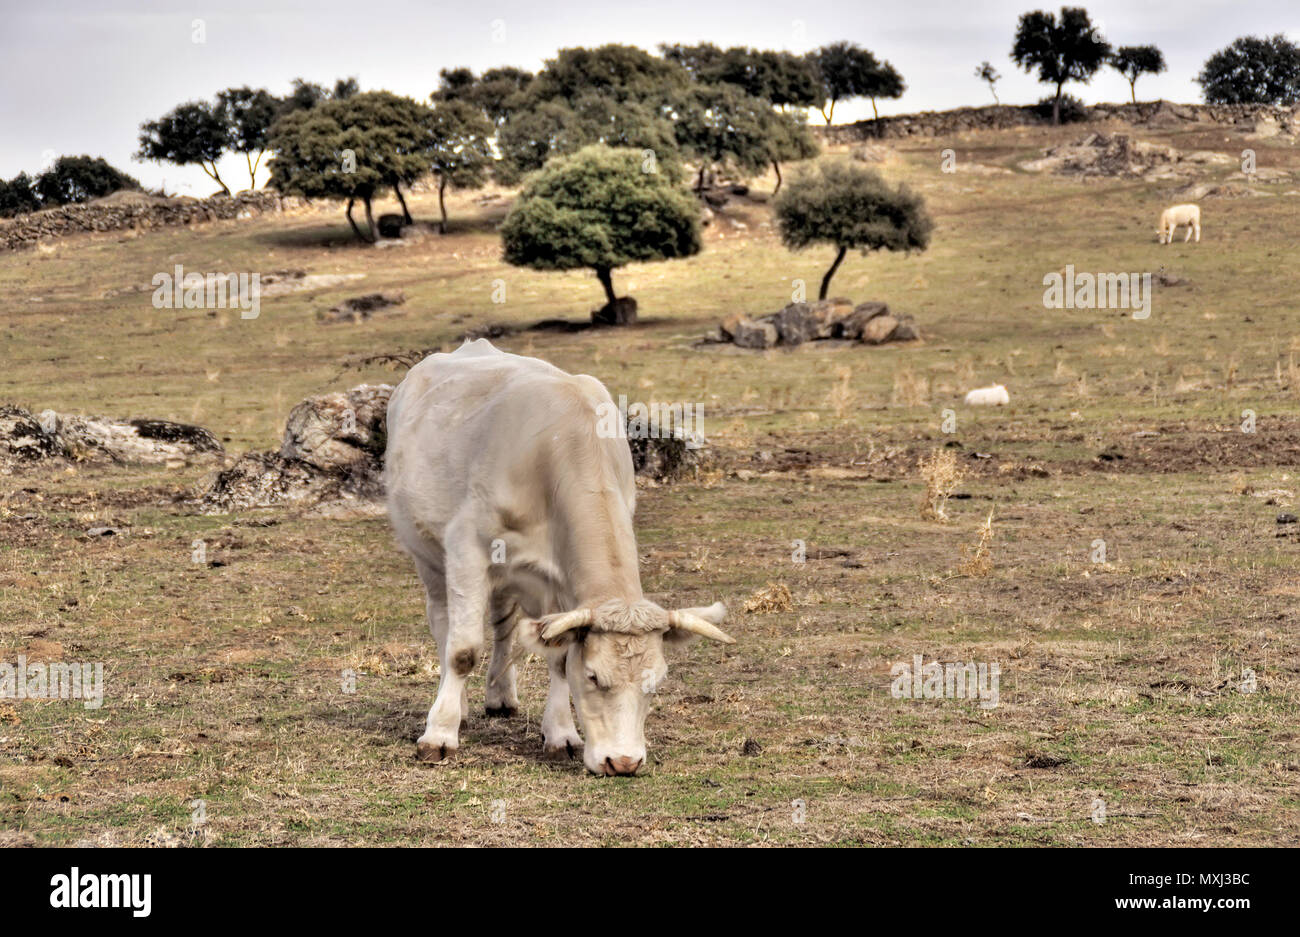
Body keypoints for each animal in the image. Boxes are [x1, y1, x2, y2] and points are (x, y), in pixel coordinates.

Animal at [379, 335, 738, 774]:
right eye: (595, 677)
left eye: (656, 683)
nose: (623, 762)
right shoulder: (467, 549)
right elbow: (462, 651)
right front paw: (439, 735)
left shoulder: (559, 582)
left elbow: (557, 657)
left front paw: (562, 735)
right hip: (427, 554)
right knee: (443, 625)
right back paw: (456, 706)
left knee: (502, 623)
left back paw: (501, 696)